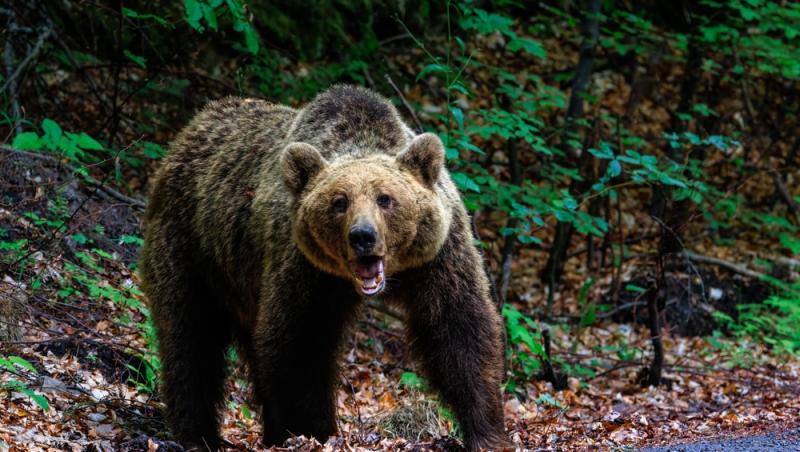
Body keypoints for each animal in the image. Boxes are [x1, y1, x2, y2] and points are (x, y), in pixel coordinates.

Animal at [139, 85, 506, 452]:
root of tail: (189, 131)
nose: (363, 236)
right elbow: (300, 344)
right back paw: (198, 434)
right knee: (190, 338)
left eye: (385, 199)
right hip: (192, 249)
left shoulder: (437, 257)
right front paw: (314, 430)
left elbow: (458, 329)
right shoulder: (305, 269)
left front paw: (486, 430)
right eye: (340, 202)